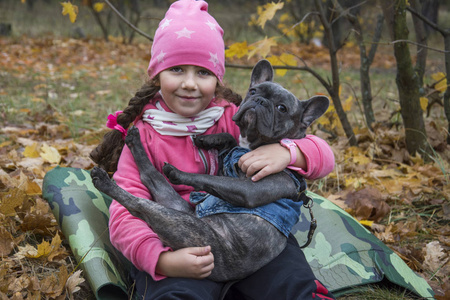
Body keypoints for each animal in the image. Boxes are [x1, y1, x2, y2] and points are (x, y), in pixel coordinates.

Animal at [92, 59, 330, 282]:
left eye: (282, 108)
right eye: (253, 91)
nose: (259, 101)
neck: (250, 145)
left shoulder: (251, 189)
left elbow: (209, 178)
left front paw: (180, 172)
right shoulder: (231, 156)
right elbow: (229, 138)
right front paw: (206, 139)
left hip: (183, 226)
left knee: (139, 204)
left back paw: (105, 179)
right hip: (173, 207)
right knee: (151, 175)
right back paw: (133, 140)